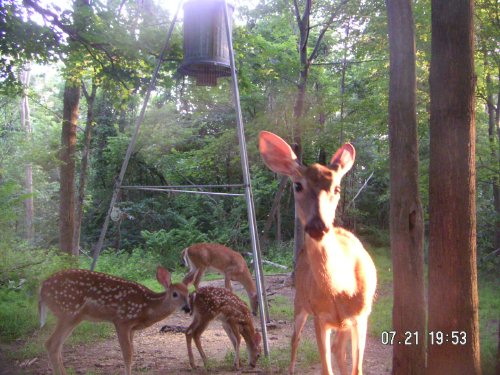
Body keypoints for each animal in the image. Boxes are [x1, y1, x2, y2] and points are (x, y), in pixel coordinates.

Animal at [39, 268, 189, 375]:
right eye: (175, 294)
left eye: (188, 293)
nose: (187, 308)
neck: (147, 307)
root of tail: (42, 288)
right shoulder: (122, 320)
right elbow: (127, 354)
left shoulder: (132, 328)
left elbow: (132, 352)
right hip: (68, 312)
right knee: (51, 344)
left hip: (73, 317)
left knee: (57, 345)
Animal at [260, 132, 376, 375]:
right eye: (297, 185)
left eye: (337, 188)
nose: (317, 226)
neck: (341, 290)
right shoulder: (320, 317)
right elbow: (326, 369)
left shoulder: (361, 316)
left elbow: (356, 369)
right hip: (300, 302)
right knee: (295, 338)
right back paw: (291, 369)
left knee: (338, 349)